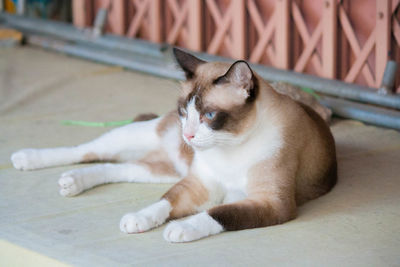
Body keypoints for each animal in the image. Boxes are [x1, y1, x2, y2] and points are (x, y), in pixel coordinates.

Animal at [10, 47, 338, 243]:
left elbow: (219, 213)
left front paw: (180, 228)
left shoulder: (270, 203)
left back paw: (71, 182)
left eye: (209, 116)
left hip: (158, 170)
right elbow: (164, 202)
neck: (230, 148)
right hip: (134, 138)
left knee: (114, 167)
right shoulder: (197, 185)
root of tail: (170, 156)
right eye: (184, 112)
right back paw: (27, 159)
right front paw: (139, 220)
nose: (188, 137)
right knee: (85, 151)